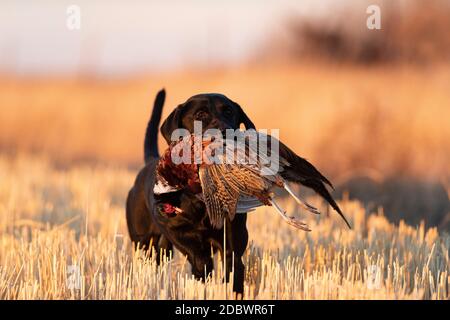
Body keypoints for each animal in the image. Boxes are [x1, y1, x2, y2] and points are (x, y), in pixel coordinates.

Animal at [125, 89, 256, 296]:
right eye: (200, 114)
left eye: (229, 111)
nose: (225, 131)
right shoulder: (175, 228)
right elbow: (198, 255)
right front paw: (202, 274)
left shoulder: (234, 233)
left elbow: (234, 265)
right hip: (144, 240)